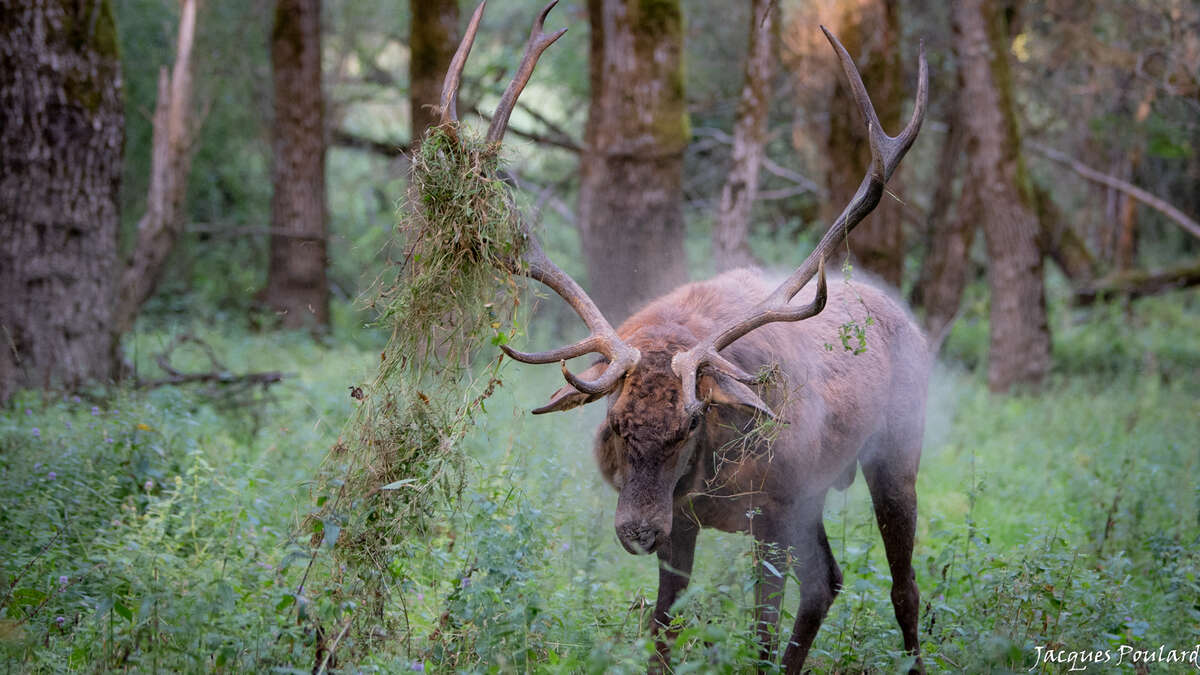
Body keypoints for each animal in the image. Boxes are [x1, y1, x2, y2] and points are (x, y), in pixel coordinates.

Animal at [433, 2, 929, 672]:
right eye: (615, 422)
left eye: (691, 423)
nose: (638, 531)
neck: (706, 480)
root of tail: (906, 317)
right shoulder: (687, 522)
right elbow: (664, 628)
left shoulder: (770, 512)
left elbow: (761, 625)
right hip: (814, 499)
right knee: (828, 582)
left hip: (893, 457)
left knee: (899, 586)